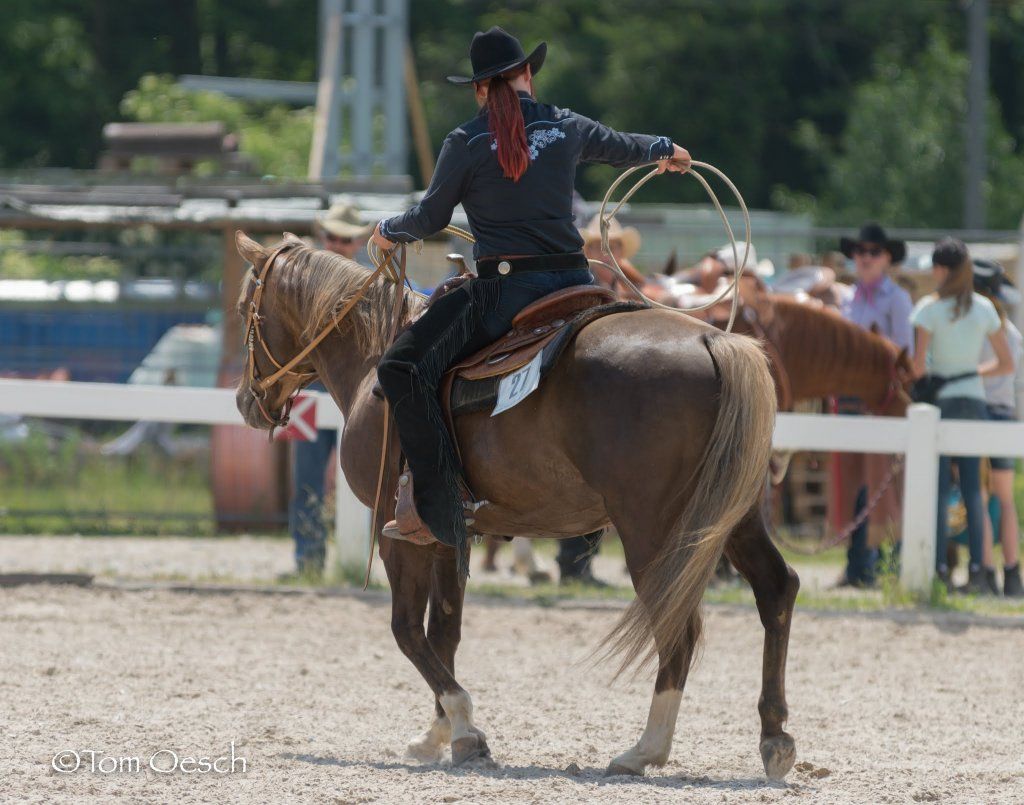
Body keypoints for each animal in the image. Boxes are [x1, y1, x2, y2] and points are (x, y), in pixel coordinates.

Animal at [232, 232, 798, 780]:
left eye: (243, 308)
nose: (244, 400)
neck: (374, 363)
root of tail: (713, 340)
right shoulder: (447, 531)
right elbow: (445, 630)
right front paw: (438, 735)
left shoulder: (394, 530)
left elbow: (407, 629)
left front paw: (464, 728)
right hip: (732, 517)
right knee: (776, 590)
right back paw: (774, 739)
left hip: (653, 529)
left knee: (677, 627)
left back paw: (643, 751)